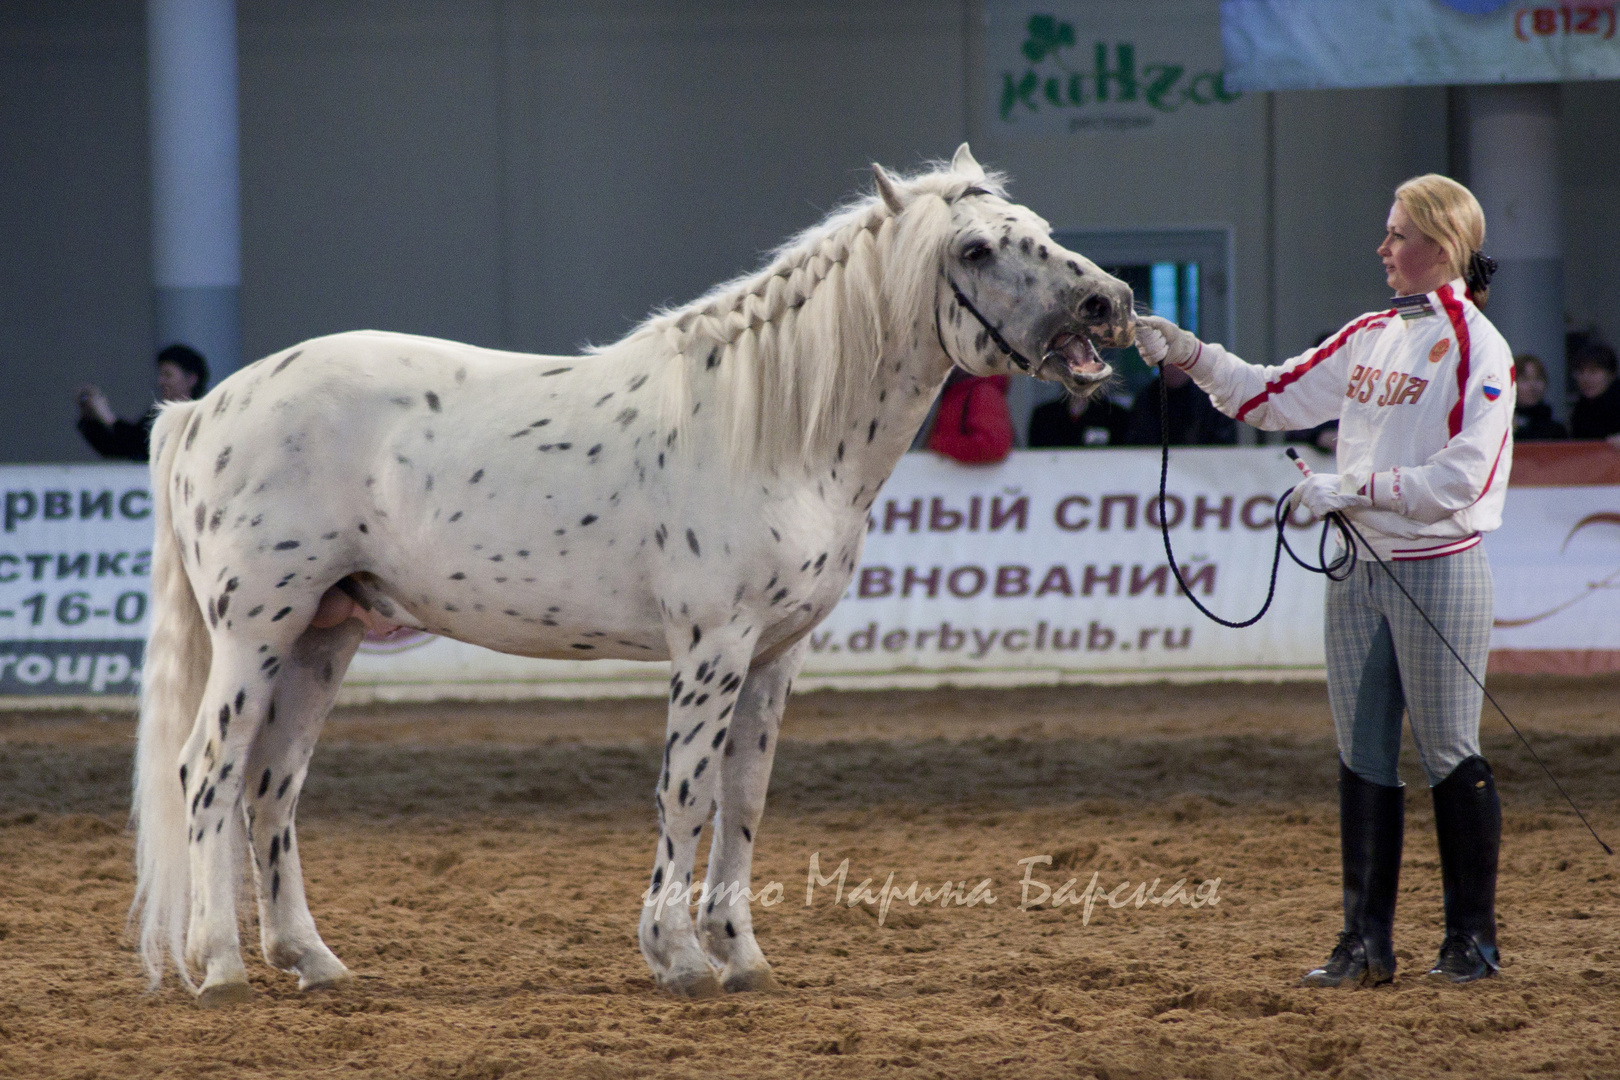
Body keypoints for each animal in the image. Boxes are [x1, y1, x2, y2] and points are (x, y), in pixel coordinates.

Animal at [129, 143, 1140, 1003]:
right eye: (975, 247)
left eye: (1038, 227)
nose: (1111, 303)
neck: (776, 430)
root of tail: (208, 405)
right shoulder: (710, 649)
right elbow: (684, 795)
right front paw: (678, 956)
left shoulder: (774, 656)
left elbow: (741, 800)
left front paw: (742, 956)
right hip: (257, 634)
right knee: (210, 772)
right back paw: (219, 967)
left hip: (324, 637)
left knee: (273, 785)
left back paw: (311, 959)